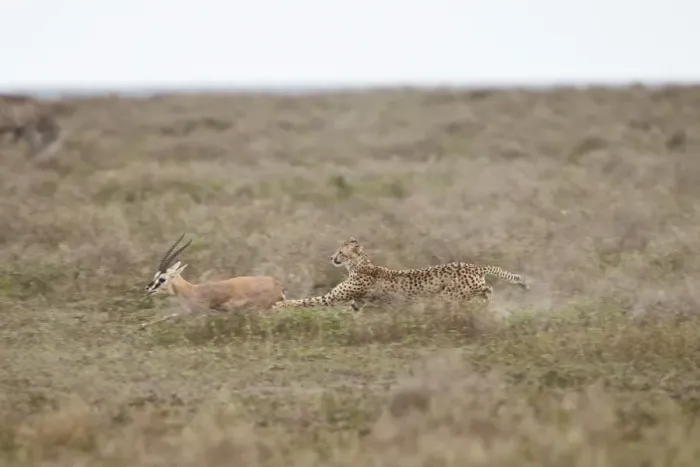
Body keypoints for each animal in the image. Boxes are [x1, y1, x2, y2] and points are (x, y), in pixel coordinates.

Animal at [272, 237, 529, 310]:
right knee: (488, 290)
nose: (331, 257)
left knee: (485, 290)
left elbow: (307, 300)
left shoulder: (333, 297)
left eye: (340, 252)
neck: (361, 264)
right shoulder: (357, 302)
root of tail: (474, 265)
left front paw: (279, 305)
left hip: (452, 294)